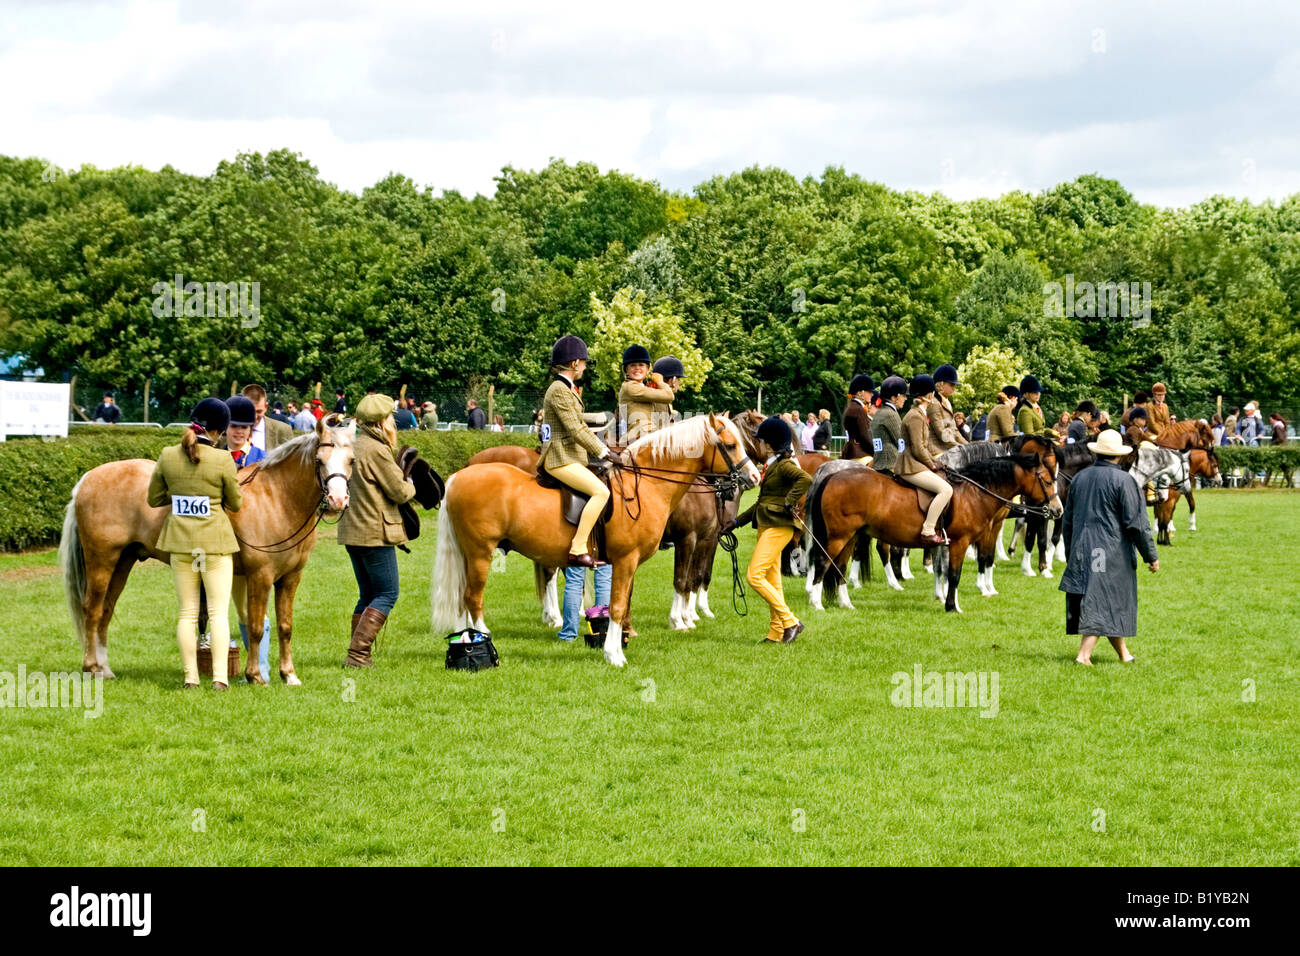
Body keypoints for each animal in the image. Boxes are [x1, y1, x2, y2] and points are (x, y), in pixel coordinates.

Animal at [59, 416, 358, 686]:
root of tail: (88, 478)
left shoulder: (291, 577)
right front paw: (255, 676)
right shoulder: (260, 576)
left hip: (123, 561)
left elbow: (285, 627)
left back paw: (105, 669)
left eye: (351, 460)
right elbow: (256, 627)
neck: (276, 499)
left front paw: (289, 675)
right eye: (319, 460)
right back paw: (91, 668)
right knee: (92, 610)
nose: (338, 500)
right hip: (102, 561)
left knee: (106, 611)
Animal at [431, 416, 759, 671]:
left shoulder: (630, 562)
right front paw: (614, 655)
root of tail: (459, 475)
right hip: (480, 553)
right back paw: (484, 638)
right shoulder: (629, 559)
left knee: (463, 598)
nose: (754, 476)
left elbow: (623, 604)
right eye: (731, 445)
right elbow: (617, 606)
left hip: (469, 555)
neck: (645, 485)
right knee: (473, 598)